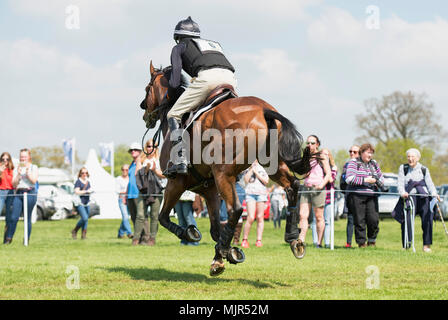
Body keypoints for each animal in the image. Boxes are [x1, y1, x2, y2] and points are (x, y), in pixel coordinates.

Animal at [139, 61, 312, 276]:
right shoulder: (209, 189)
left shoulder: (176, 183)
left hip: (223, 173)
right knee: (292, 186)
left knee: (236, 209)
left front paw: (192, 234)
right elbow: (215, 229)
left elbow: (163, 217)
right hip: (270, 165)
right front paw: (228, 252)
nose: (144, 111)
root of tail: (263, 110)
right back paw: (294, 239)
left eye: (147, 88)